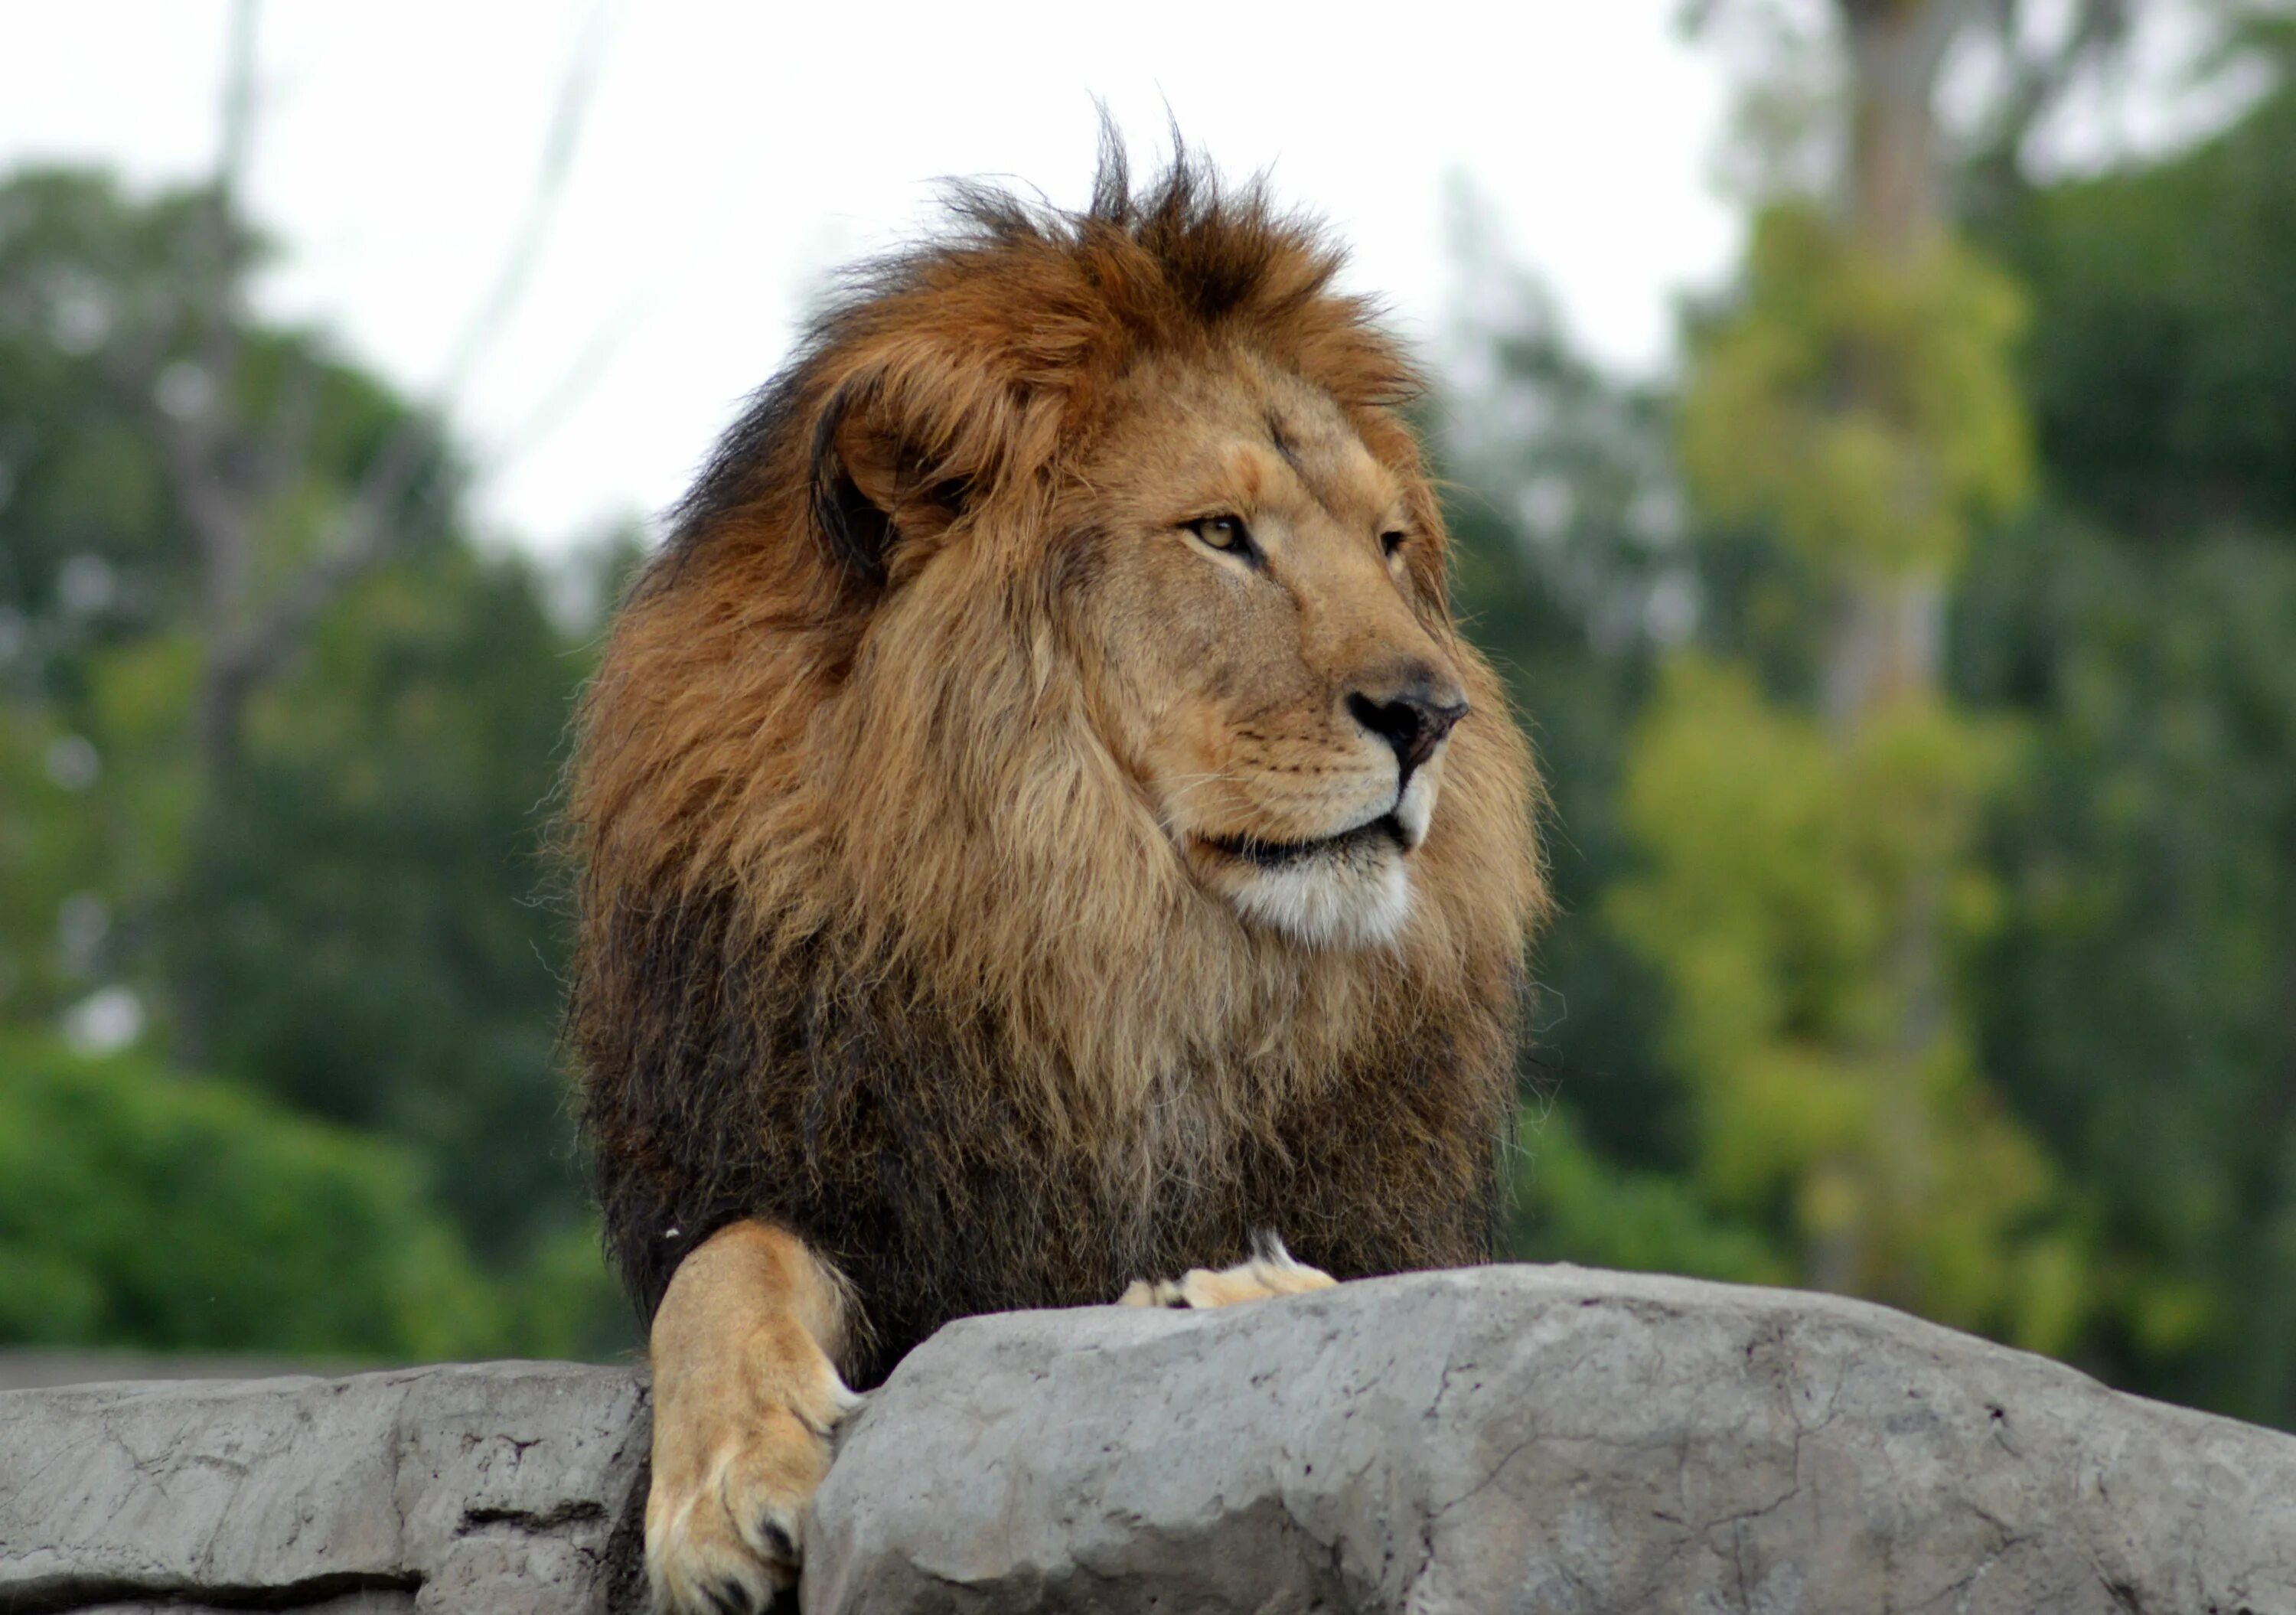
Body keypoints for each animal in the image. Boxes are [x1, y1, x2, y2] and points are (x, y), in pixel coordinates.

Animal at [565, 145, 1552, 1607]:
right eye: (1220, 532)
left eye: (1385, 546)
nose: (1433, 716)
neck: (1103, 955)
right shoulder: (807, 1182)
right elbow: (728, 1268)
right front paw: (725, 1491)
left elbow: (1336, 1280)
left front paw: (1236, 1287)